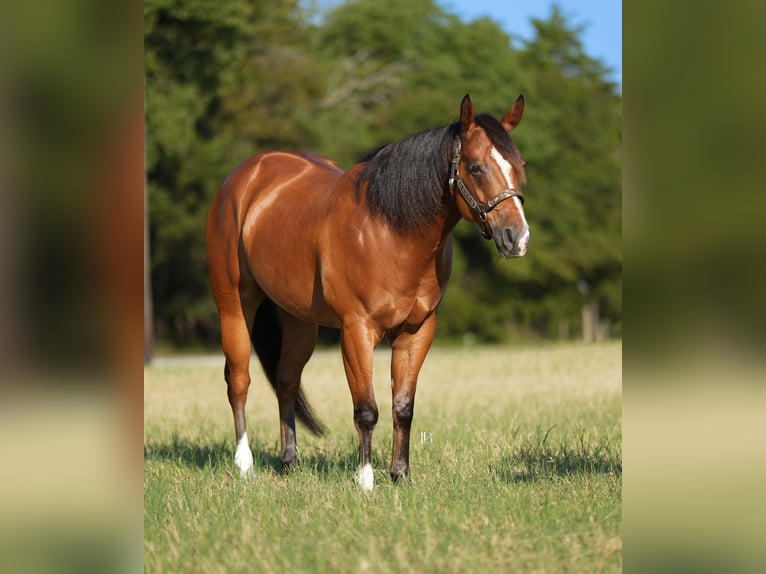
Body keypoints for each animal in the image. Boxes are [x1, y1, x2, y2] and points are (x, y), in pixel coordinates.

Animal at [206, 94, 529, 491]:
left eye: (519, 165)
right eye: (476, 167)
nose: (518, 237)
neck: (391, 229)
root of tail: (245, 177)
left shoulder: (416, 332)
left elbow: (403, 406)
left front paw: (401, 475)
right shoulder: (357, 331)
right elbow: (366, 409)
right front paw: (365, 480)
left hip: (299, 320)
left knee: (286, 380)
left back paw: (289, 463)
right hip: (235, 304)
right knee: (239, 380)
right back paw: (244, 463)